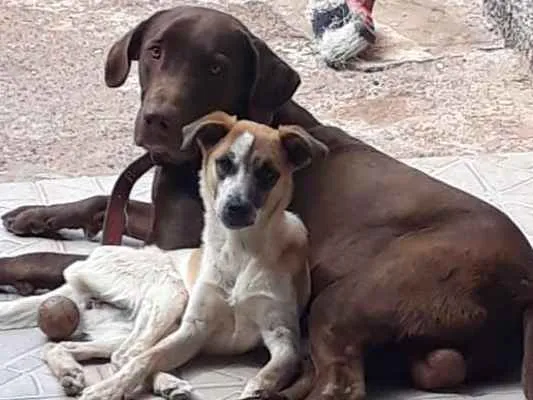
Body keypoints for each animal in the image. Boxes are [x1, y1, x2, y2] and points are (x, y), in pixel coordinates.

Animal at [0, 111, 326, 400]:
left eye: (268, 173)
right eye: (224, 163)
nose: (235, 208)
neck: (239, 251)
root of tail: (83, 268)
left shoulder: (283, 337)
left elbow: (273, 370)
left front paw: (258, 390)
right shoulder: (193, 329)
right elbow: (146, 359)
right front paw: (108, 390)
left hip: (131, 324)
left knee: (73, 348)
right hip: (170, 295)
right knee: (129, 355)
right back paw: (156, 381)